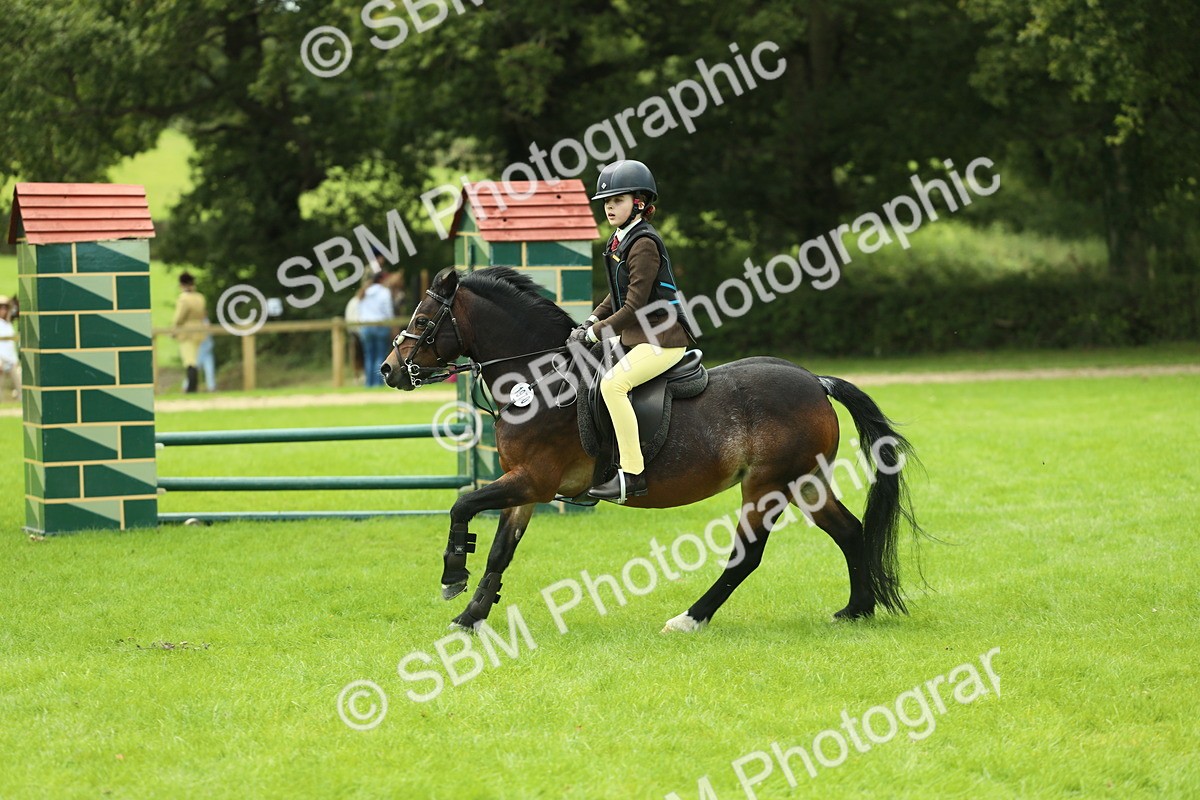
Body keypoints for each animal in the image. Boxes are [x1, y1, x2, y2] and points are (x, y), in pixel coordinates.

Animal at [381, 266, 923, 633]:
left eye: (423, 321)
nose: (388, 370)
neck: (538, 380)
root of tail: (815, 381)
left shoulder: (533, 480)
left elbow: (462, 505)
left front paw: (452, 573)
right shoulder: (525, 488)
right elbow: (499, 551)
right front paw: (470, 615)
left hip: (767, 485)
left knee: (746, 556)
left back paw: (690, 618)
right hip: (805, 482)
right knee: (849, 531)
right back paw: (856, 610)